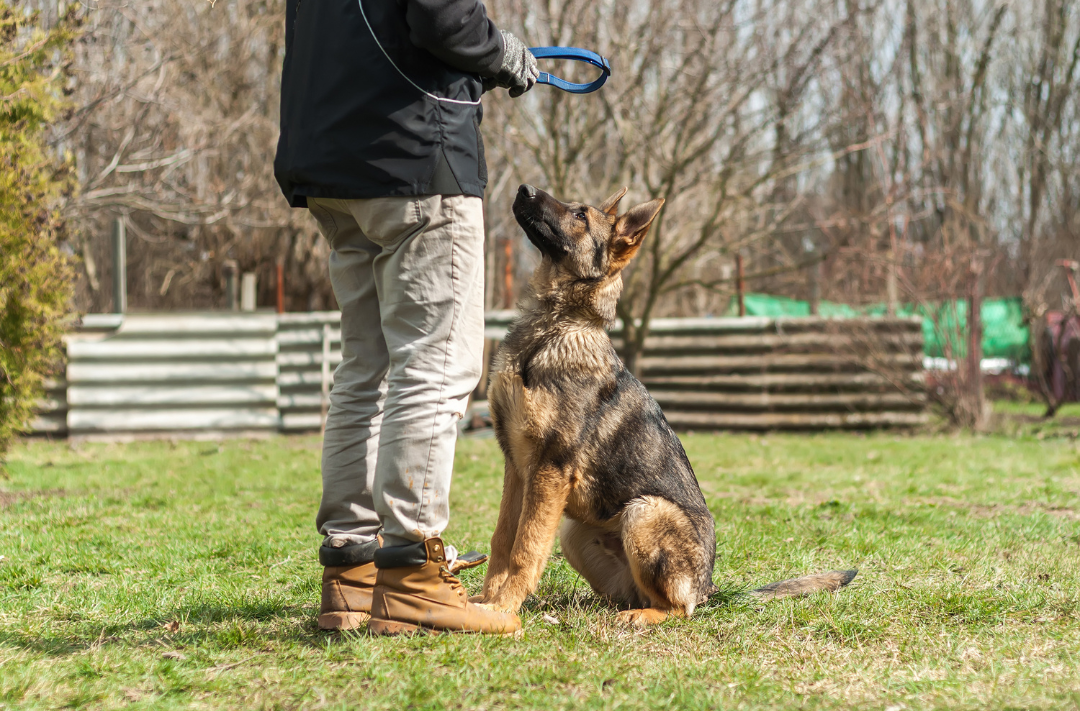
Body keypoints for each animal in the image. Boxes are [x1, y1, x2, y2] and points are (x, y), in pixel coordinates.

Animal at [477, 185, 855, 622]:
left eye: (580, 215)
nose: (524, 189)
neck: (553, 326)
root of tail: (710, 587)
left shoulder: (549, 468)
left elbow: (525, 548)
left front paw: (503, 608)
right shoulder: (517, 468)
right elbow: (502, 542)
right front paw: (484, 603)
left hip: (644, 511)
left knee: (677, 608)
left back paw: (641, 617)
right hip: (575, 532)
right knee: (634, 595)